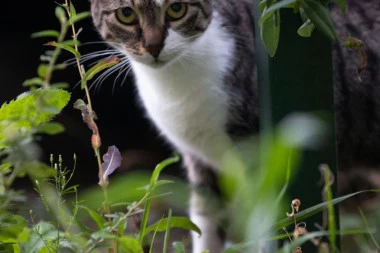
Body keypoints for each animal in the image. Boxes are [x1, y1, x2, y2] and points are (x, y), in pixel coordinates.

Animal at [90, 0, 380, 251]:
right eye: (126, 14)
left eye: (177, 9)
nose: (153, 46)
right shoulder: (200, 159)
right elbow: (206, 221)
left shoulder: (259, 156)